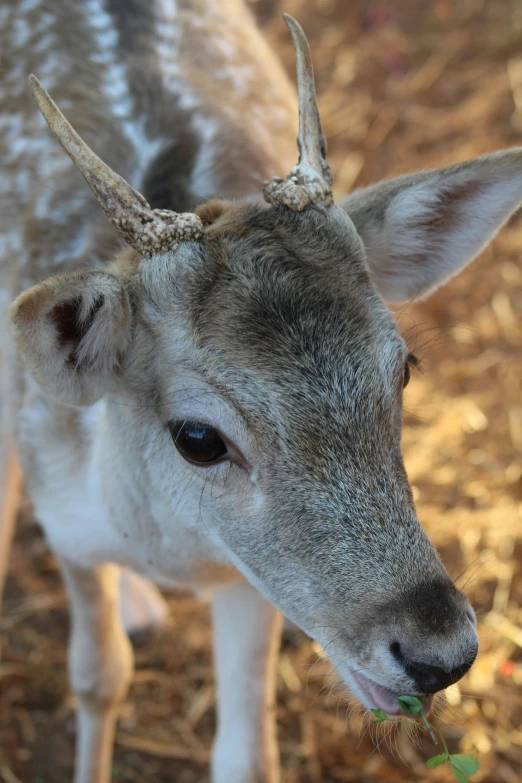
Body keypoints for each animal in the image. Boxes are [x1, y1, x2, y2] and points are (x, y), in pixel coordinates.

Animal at [1, 1, 520, 783]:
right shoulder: (66, 526)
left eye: (403, 369)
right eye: (198, 436)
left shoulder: (247, 584)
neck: (168, 544)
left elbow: (246, 756)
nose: (441, 653)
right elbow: (97, 678)